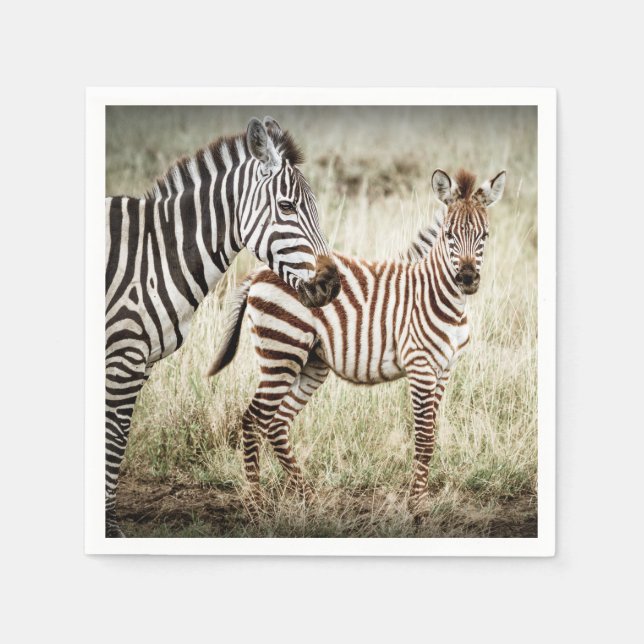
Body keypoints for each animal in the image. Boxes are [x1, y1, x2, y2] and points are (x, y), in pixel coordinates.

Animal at [105, 116, 340, 537]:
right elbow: (113, 441)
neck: (153, 256)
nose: (333, 285)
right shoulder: (123, 357)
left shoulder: (140, 361)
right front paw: (110, 527)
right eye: (286, 206)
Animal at [207, 168, 506, 519]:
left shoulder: (444, 369)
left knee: (278, 423)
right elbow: (423, 437)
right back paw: (257, 507)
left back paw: (310, 500)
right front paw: (416, 509)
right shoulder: (420, 365)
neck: (441, 295)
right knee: (254, 419)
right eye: (449, 235)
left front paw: (418, 503)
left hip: (312, 362)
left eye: (484, 235)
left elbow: (431, 435)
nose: (468, 279)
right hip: (282, 351)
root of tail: (259, 273)